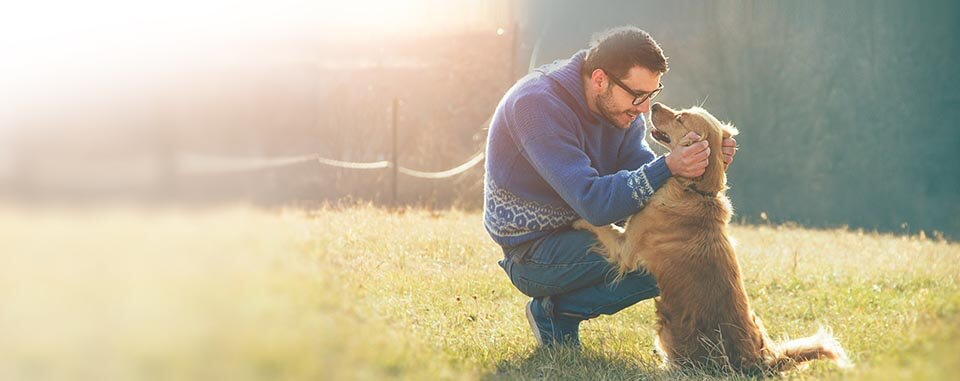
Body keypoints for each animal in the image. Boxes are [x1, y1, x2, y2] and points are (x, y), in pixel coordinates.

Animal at [572, 102, 852, 372]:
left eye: (680, 118)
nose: (653, 105)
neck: (694, 190)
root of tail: (760, 362)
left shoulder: (626, 249)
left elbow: (602, 226)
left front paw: (575, 217)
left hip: (667, 329)